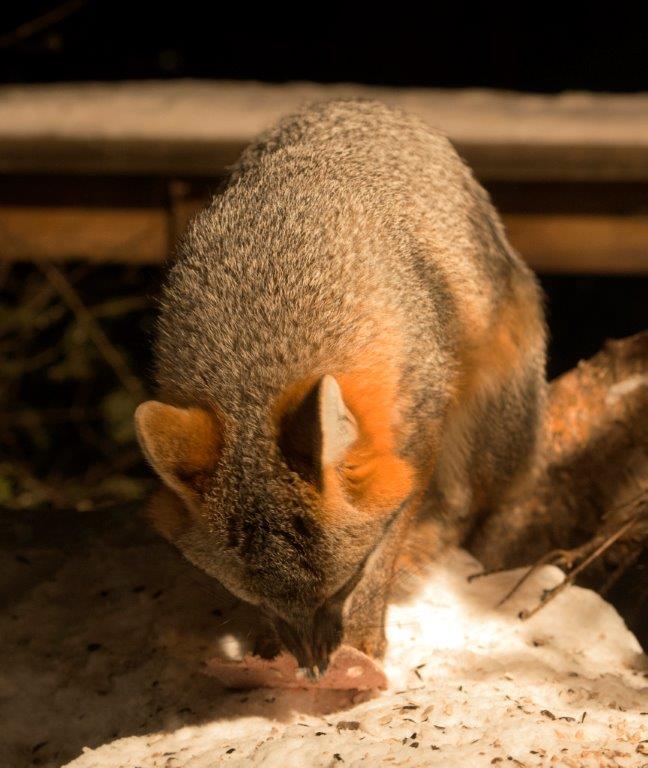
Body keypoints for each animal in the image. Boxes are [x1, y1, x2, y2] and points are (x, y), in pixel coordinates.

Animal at [135, 99, 546, 677]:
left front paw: (367, 633)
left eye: (344, 587)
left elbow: (393, 534)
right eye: (251, 599)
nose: (314, 669)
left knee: (463, 506)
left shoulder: (418, 423)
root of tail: (366, 103)